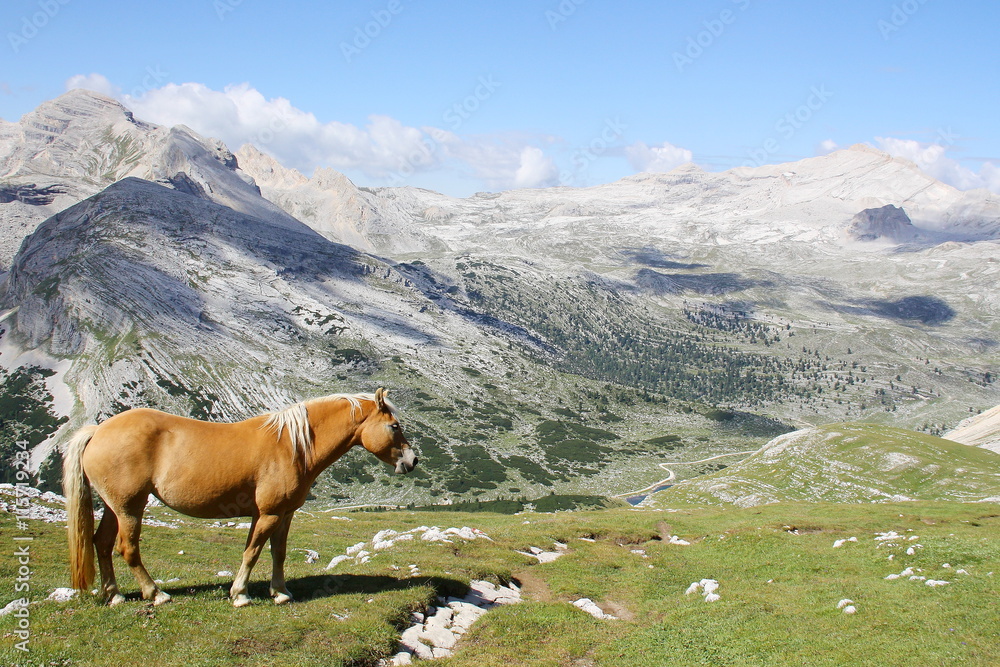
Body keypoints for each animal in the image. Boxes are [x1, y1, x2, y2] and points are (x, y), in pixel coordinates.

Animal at [62, 388, 416, 608]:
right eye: (395, 426)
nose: (412, 461)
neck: (293, 445)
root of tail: (97, 431)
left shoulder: (283, 514)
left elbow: (277, 552)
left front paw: (280, 592)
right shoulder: (269, 513)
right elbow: (253, 552)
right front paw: (240, 594)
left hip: (114, 508)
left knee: (101, 543)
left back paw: (114, 595)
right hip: (129, 508)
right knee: (127, 548)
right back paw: (156, 594)